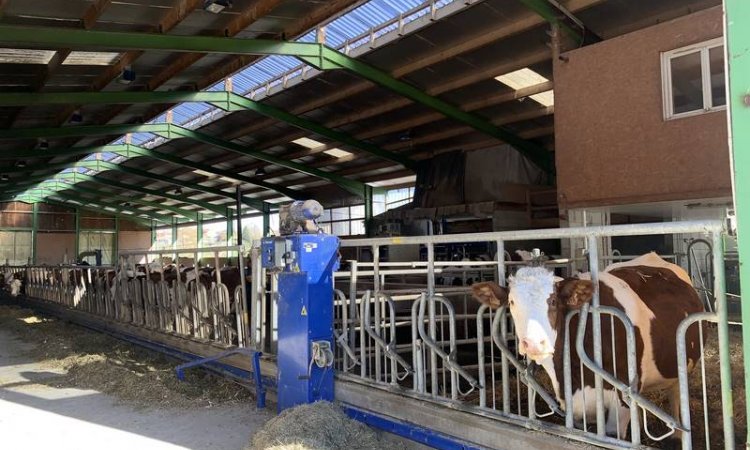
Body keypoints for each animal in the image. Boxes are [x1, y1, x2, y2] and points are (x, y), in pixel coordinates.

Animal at [472, 253, 708, 440]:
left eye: (553, 301)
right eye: (512, 302)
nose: (534, 344)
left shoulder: (621, 403)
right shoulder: (575, 407)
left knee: (676, 392)